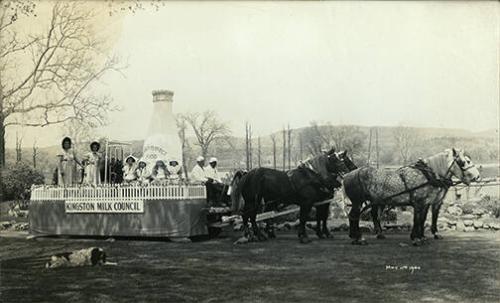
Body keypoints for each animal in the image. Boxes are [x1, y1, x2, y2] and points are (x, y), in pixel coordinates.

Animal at [344, 150, 480, 247]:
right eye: (464, 162)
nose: (477, 176)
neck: (428, 176)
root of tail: (347, 175)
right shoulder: (419, 203)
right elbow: (417, 219)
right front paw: (416, 239)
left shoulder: (429, 202)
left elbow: (423, 219)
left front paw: (423, 236)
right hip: (358, 201)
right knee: (354, 216)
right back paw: (359, 238)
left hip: (375, 201)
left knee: (367, 215)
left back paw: (365, 235)